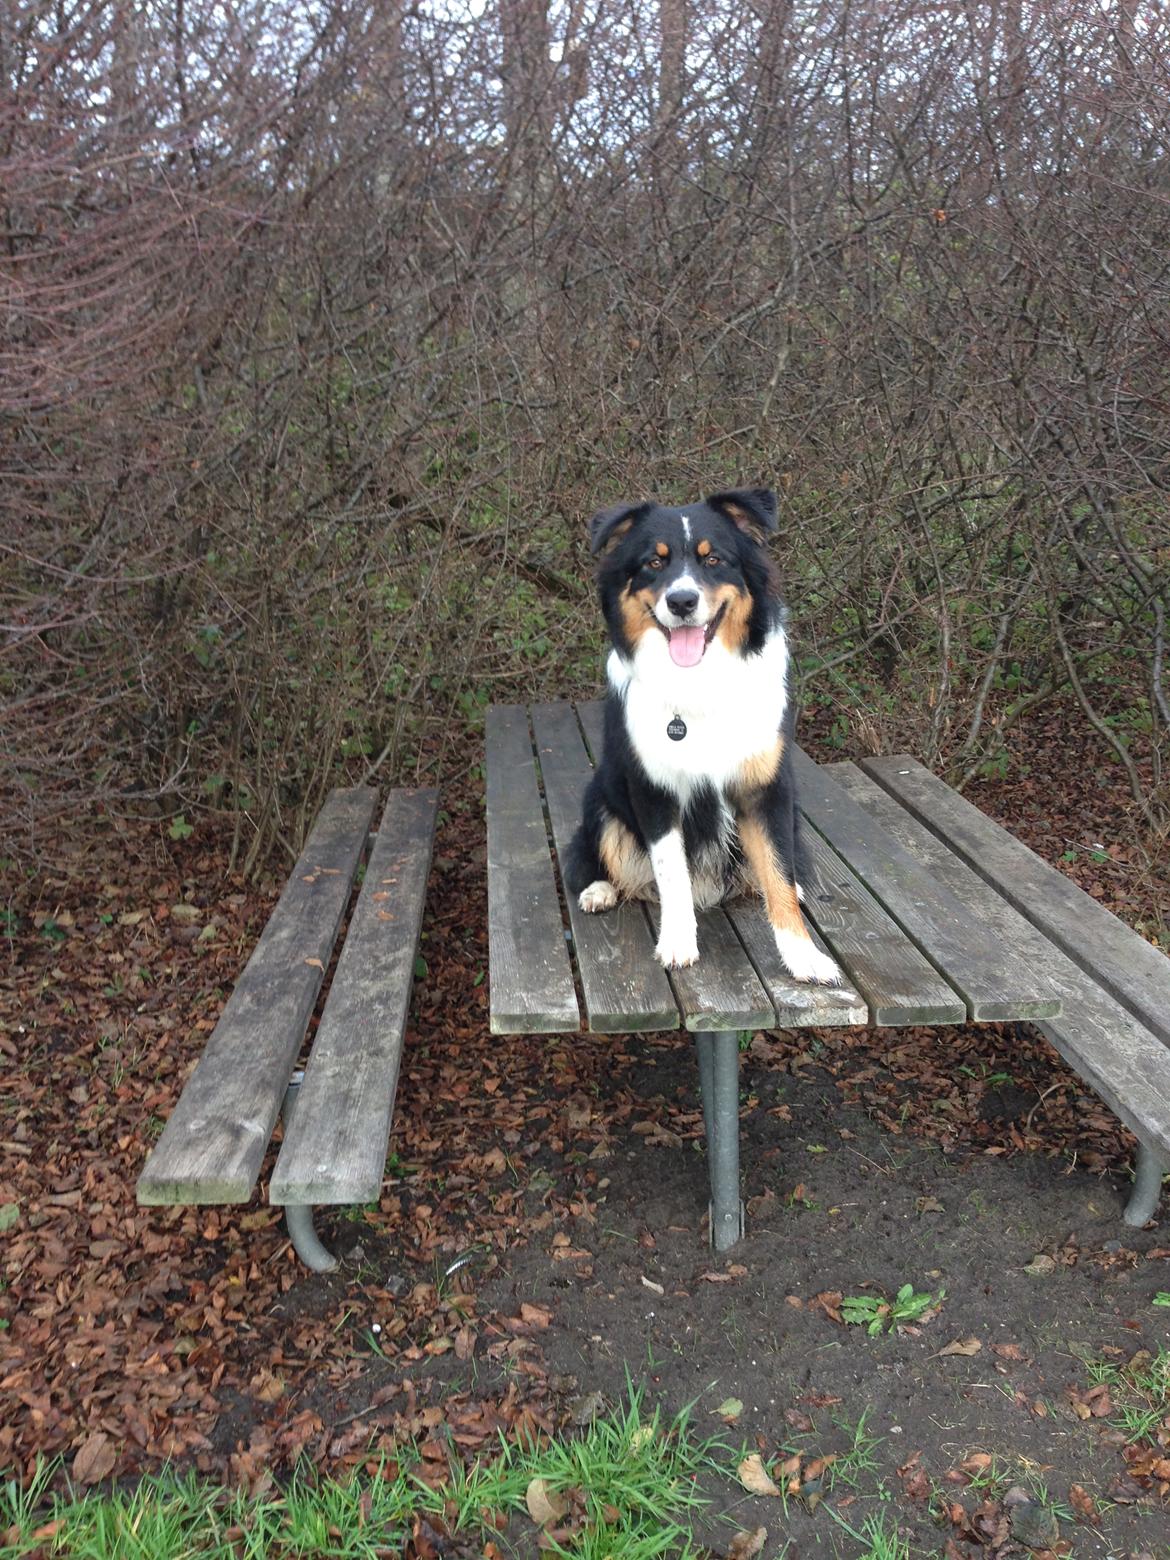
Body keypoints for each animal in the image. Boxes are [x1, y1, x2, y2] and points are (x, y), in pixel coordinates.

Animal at [561, 483, 842, 985]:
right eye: (654, 563)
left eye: (714, 560)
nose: (682, 602)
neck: (698, 681)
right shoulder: (654, 791)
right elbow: (672, 874)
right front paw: (678, 942)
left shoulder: (766, 788)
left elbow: (777, 868)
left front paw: (802, 955)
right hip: (602, 799)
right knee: (591, 855)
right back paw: (599, 890)